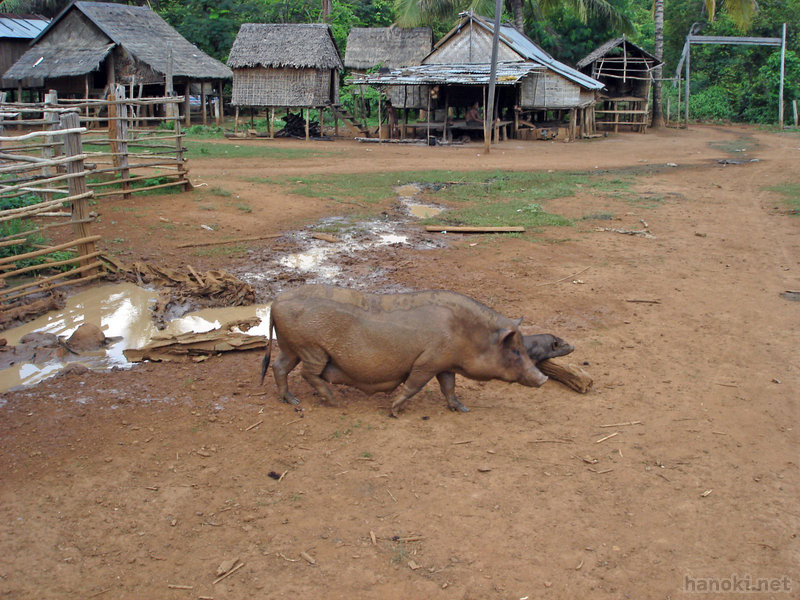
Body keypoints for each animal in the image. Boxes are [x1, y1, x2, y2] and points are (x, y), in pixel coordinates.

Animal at [262, 284, 552, 414]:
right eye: (515, 351)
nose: (543, 378)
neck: (468, 334)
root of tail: (276, 302)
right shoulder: (428, 361)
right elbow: (414, 385)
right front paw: (393, 410)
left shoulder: (444, 364)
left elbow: (449, 386)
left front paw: (462, 409)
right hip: (311, 348)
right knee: (307, 373)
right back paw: (334, 401)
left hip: (291, 347)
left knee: (279, 367)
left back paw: (292, 401)